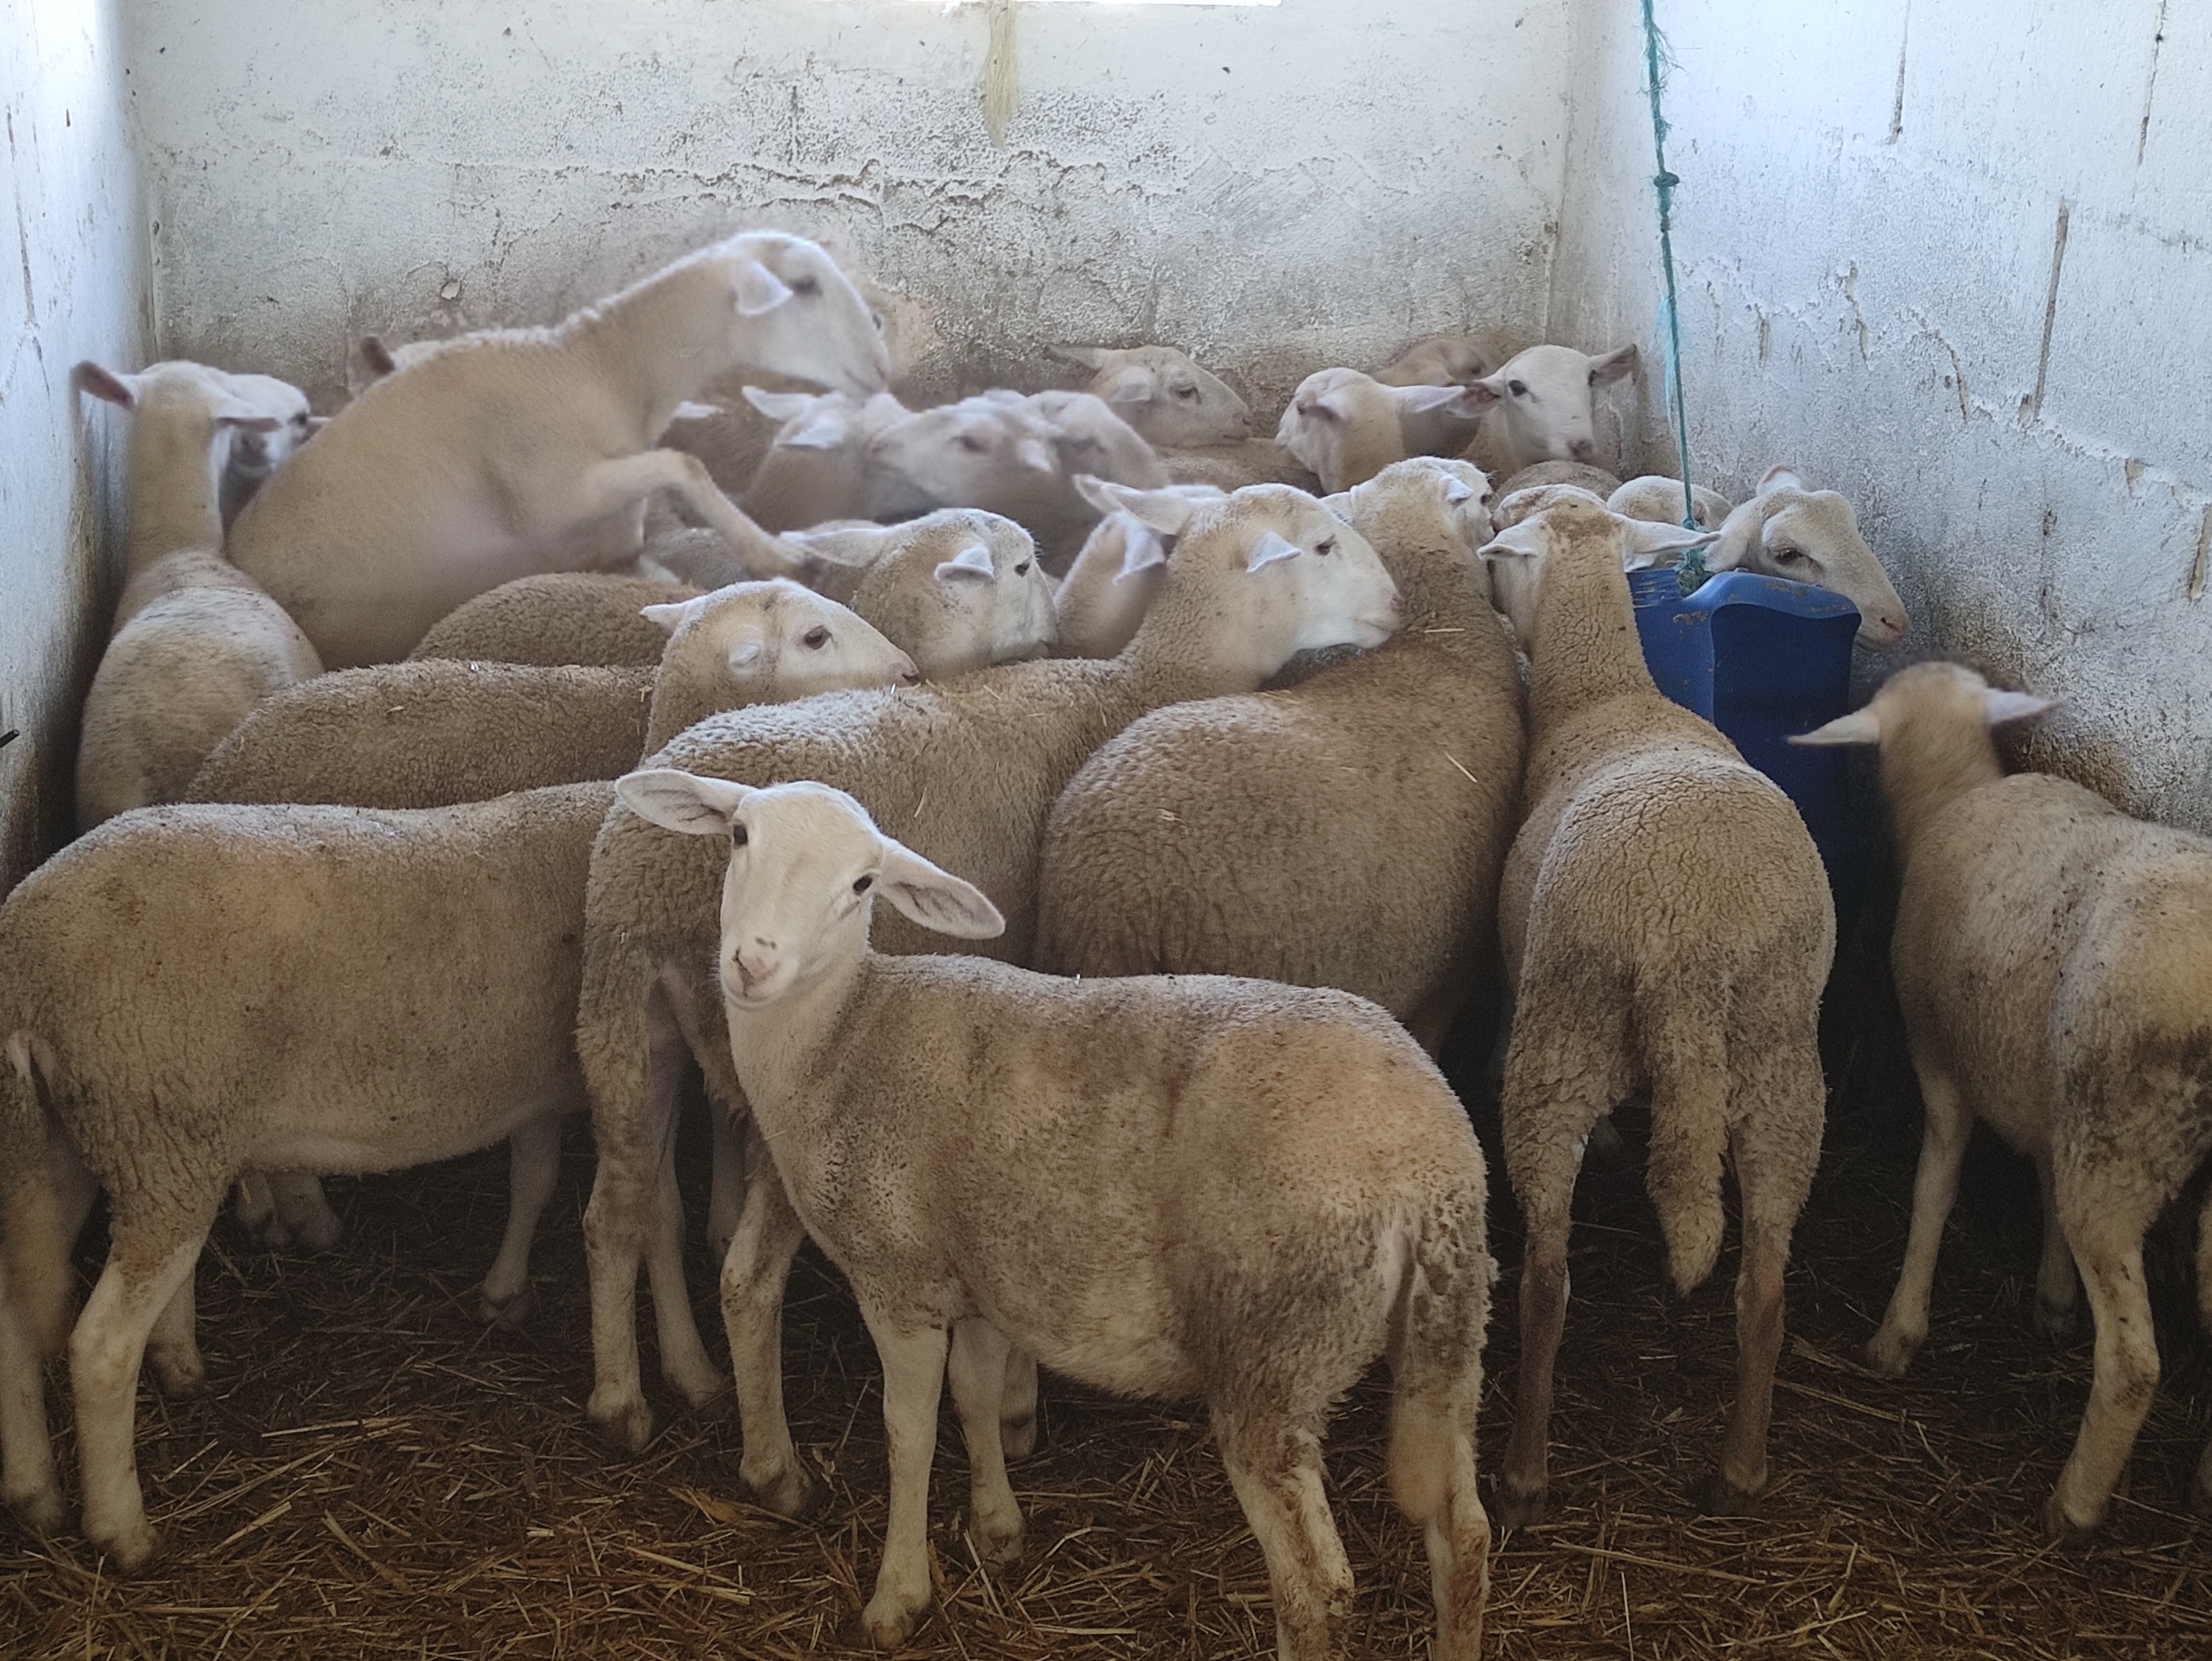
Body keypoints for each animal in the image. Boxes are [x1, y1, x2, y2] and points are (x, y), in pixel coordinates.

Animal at [611, 770, 1495, 1659]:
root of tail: (1431, 1167)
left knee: (1316, 1588)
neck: (845, 1031)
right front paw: (997, 1528)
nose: (752, 964)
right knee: (1463, 1534)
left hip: (1269, 1352)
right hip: (1447, 1336)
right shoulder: (977, 1273)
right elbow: (973, 1397)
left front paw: (898, 1595)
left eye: (861, 885)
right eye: (739, 836)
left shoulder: (900, 1279)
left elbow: (908, 1433)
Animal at [1476, 494, 1833, 1524]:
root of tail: (1690, 943)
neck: (1602, 695)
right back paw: (1740, 1468)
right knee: (1761, 1286)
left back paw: (1522, 1472)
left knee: (1546, 1283)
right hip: (1779, 1060)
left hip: (1558, 1038)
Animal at [1795, 661, 2212, 1533]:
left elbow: (1935, 1185)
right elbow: (2043, 1182)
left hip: (2120, 1148)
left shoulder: (1941, 1056)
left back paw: (2074, 1504)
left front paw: (1898, 1333)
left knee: (2132, 1364)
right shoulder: (2041, 1085)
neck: (1953, 794)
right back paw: (2206, 1485)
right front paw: (2052, 1301)